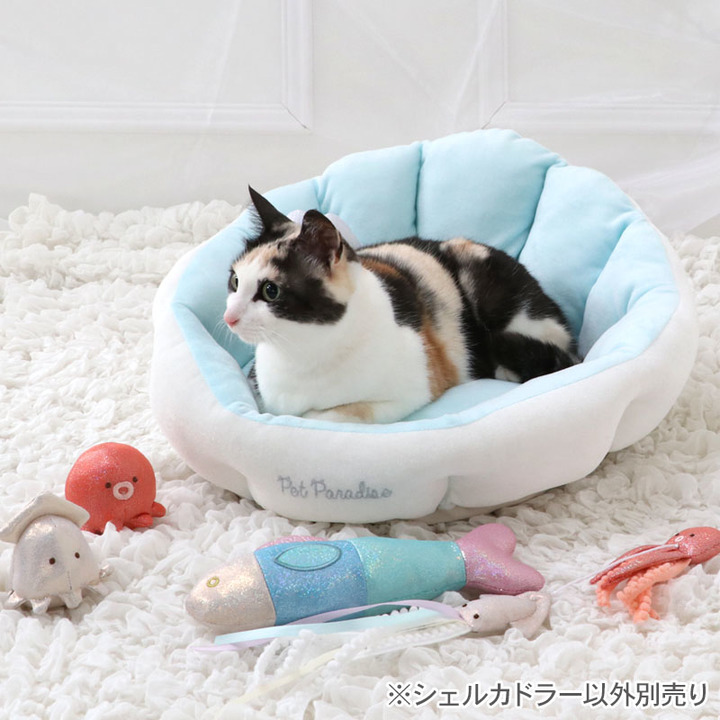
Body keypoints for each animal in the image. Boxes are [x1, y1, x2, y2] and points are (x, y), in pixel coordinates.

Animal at [223, 188, 577, 424]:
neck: (301, 353)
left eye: (270, 291)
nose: (228, 317)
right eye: (235, 281)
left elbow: (328, 416)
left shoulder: (409, 391)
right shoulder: (262, 395)